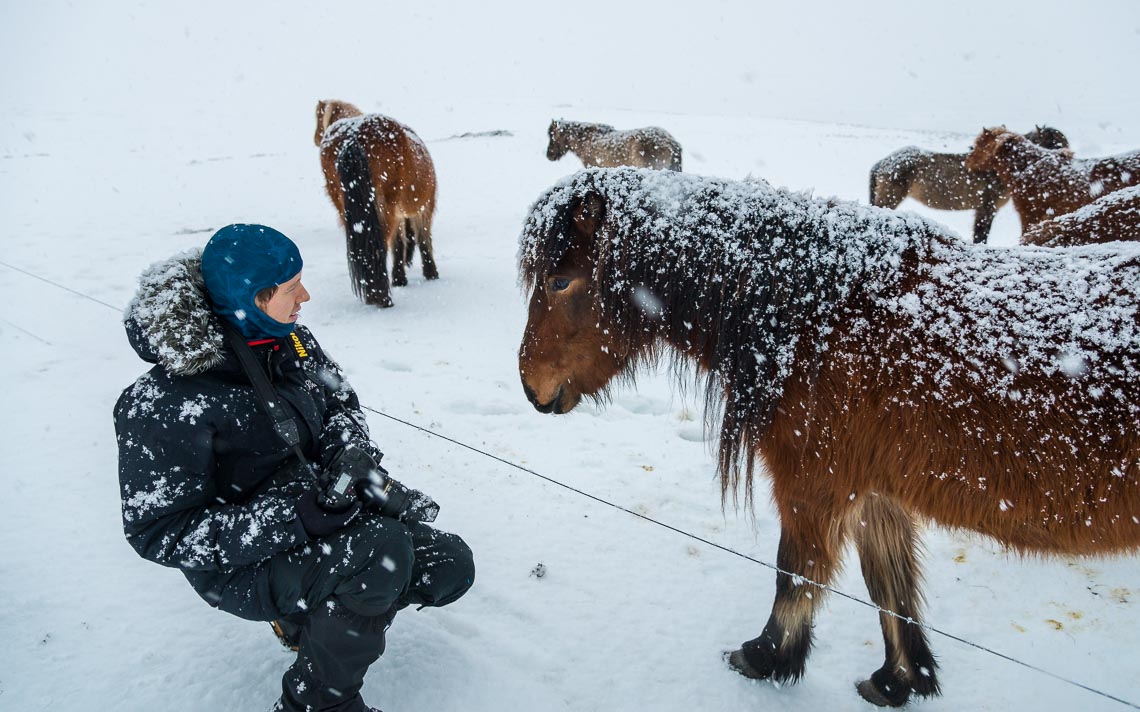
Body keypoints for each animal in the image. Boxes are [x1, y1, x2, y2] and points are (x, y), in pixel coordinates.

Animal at [314, 99, 437, 305]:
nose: (316, 138)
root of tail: (353, 136)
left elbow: (403, 243)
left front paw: (401, 278)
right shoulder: (423, 209)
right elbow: (421, 241)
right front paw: (430, 274)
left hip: (347, 209)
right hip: (386, 207)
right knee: (381, 245)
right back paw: (382, 297)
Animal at [515, 165, 1140, 706]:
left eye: (560, 279)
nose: (530, 387)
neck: (819, 319)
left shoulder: (814, 483)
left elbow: (797, 573)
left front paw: (765, 657)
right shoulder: (875, 490)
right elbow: (890, 587)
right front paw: (898, 680)